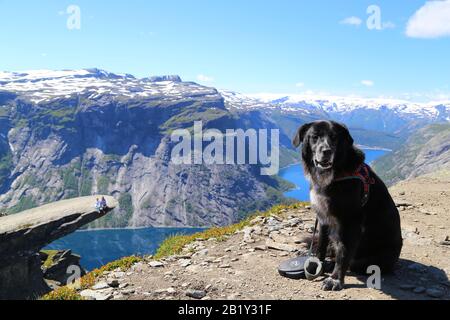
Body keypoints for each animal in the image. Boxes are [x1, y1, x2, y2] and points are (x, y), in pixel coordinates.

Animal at [294, 121, 402, 292]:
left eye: (334, 137)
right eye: (314, 137)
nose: (326, 151)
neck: (335, 174)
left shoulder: (351, 223)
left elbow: (343, 253)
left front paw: (335, 279)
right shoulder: (323, 218)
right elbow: (321, 246)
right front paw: (316, 265)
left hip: (375, 258)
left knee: (352, 262)